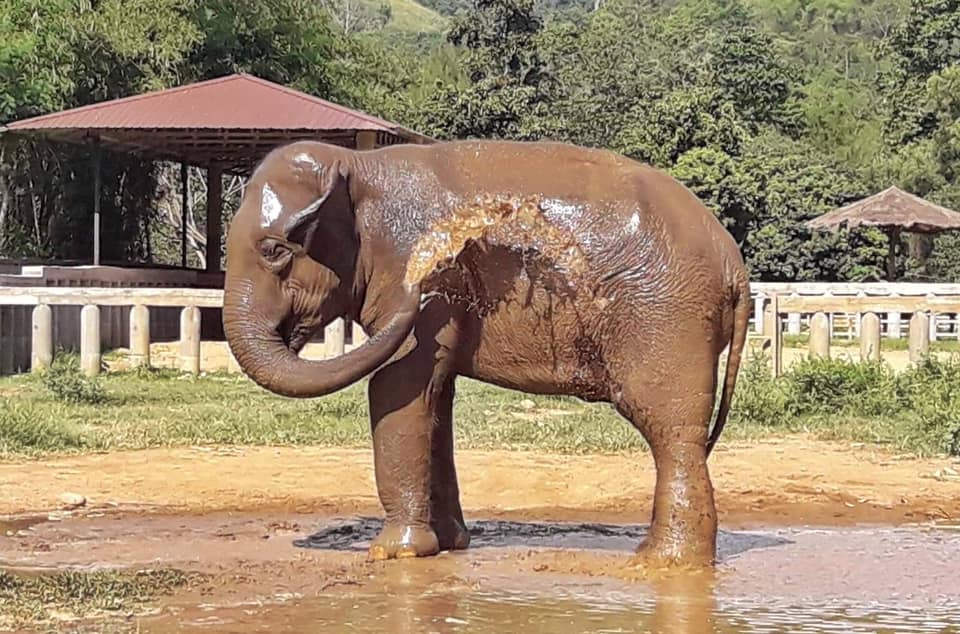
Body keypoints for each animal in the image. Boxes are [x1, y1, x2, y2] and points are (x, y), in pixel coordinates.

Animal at [223, 137, 752, 564]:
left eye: (274, 252)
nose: (424, 282)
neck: (358, 165)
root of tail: (733, 262)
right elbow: (434, 396)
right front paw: (449, 545)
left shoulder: (415, 279)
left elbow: (395, 387)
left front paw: (392, 554)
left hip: (666, 318)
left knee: (670, 431)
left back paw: (664, 564)